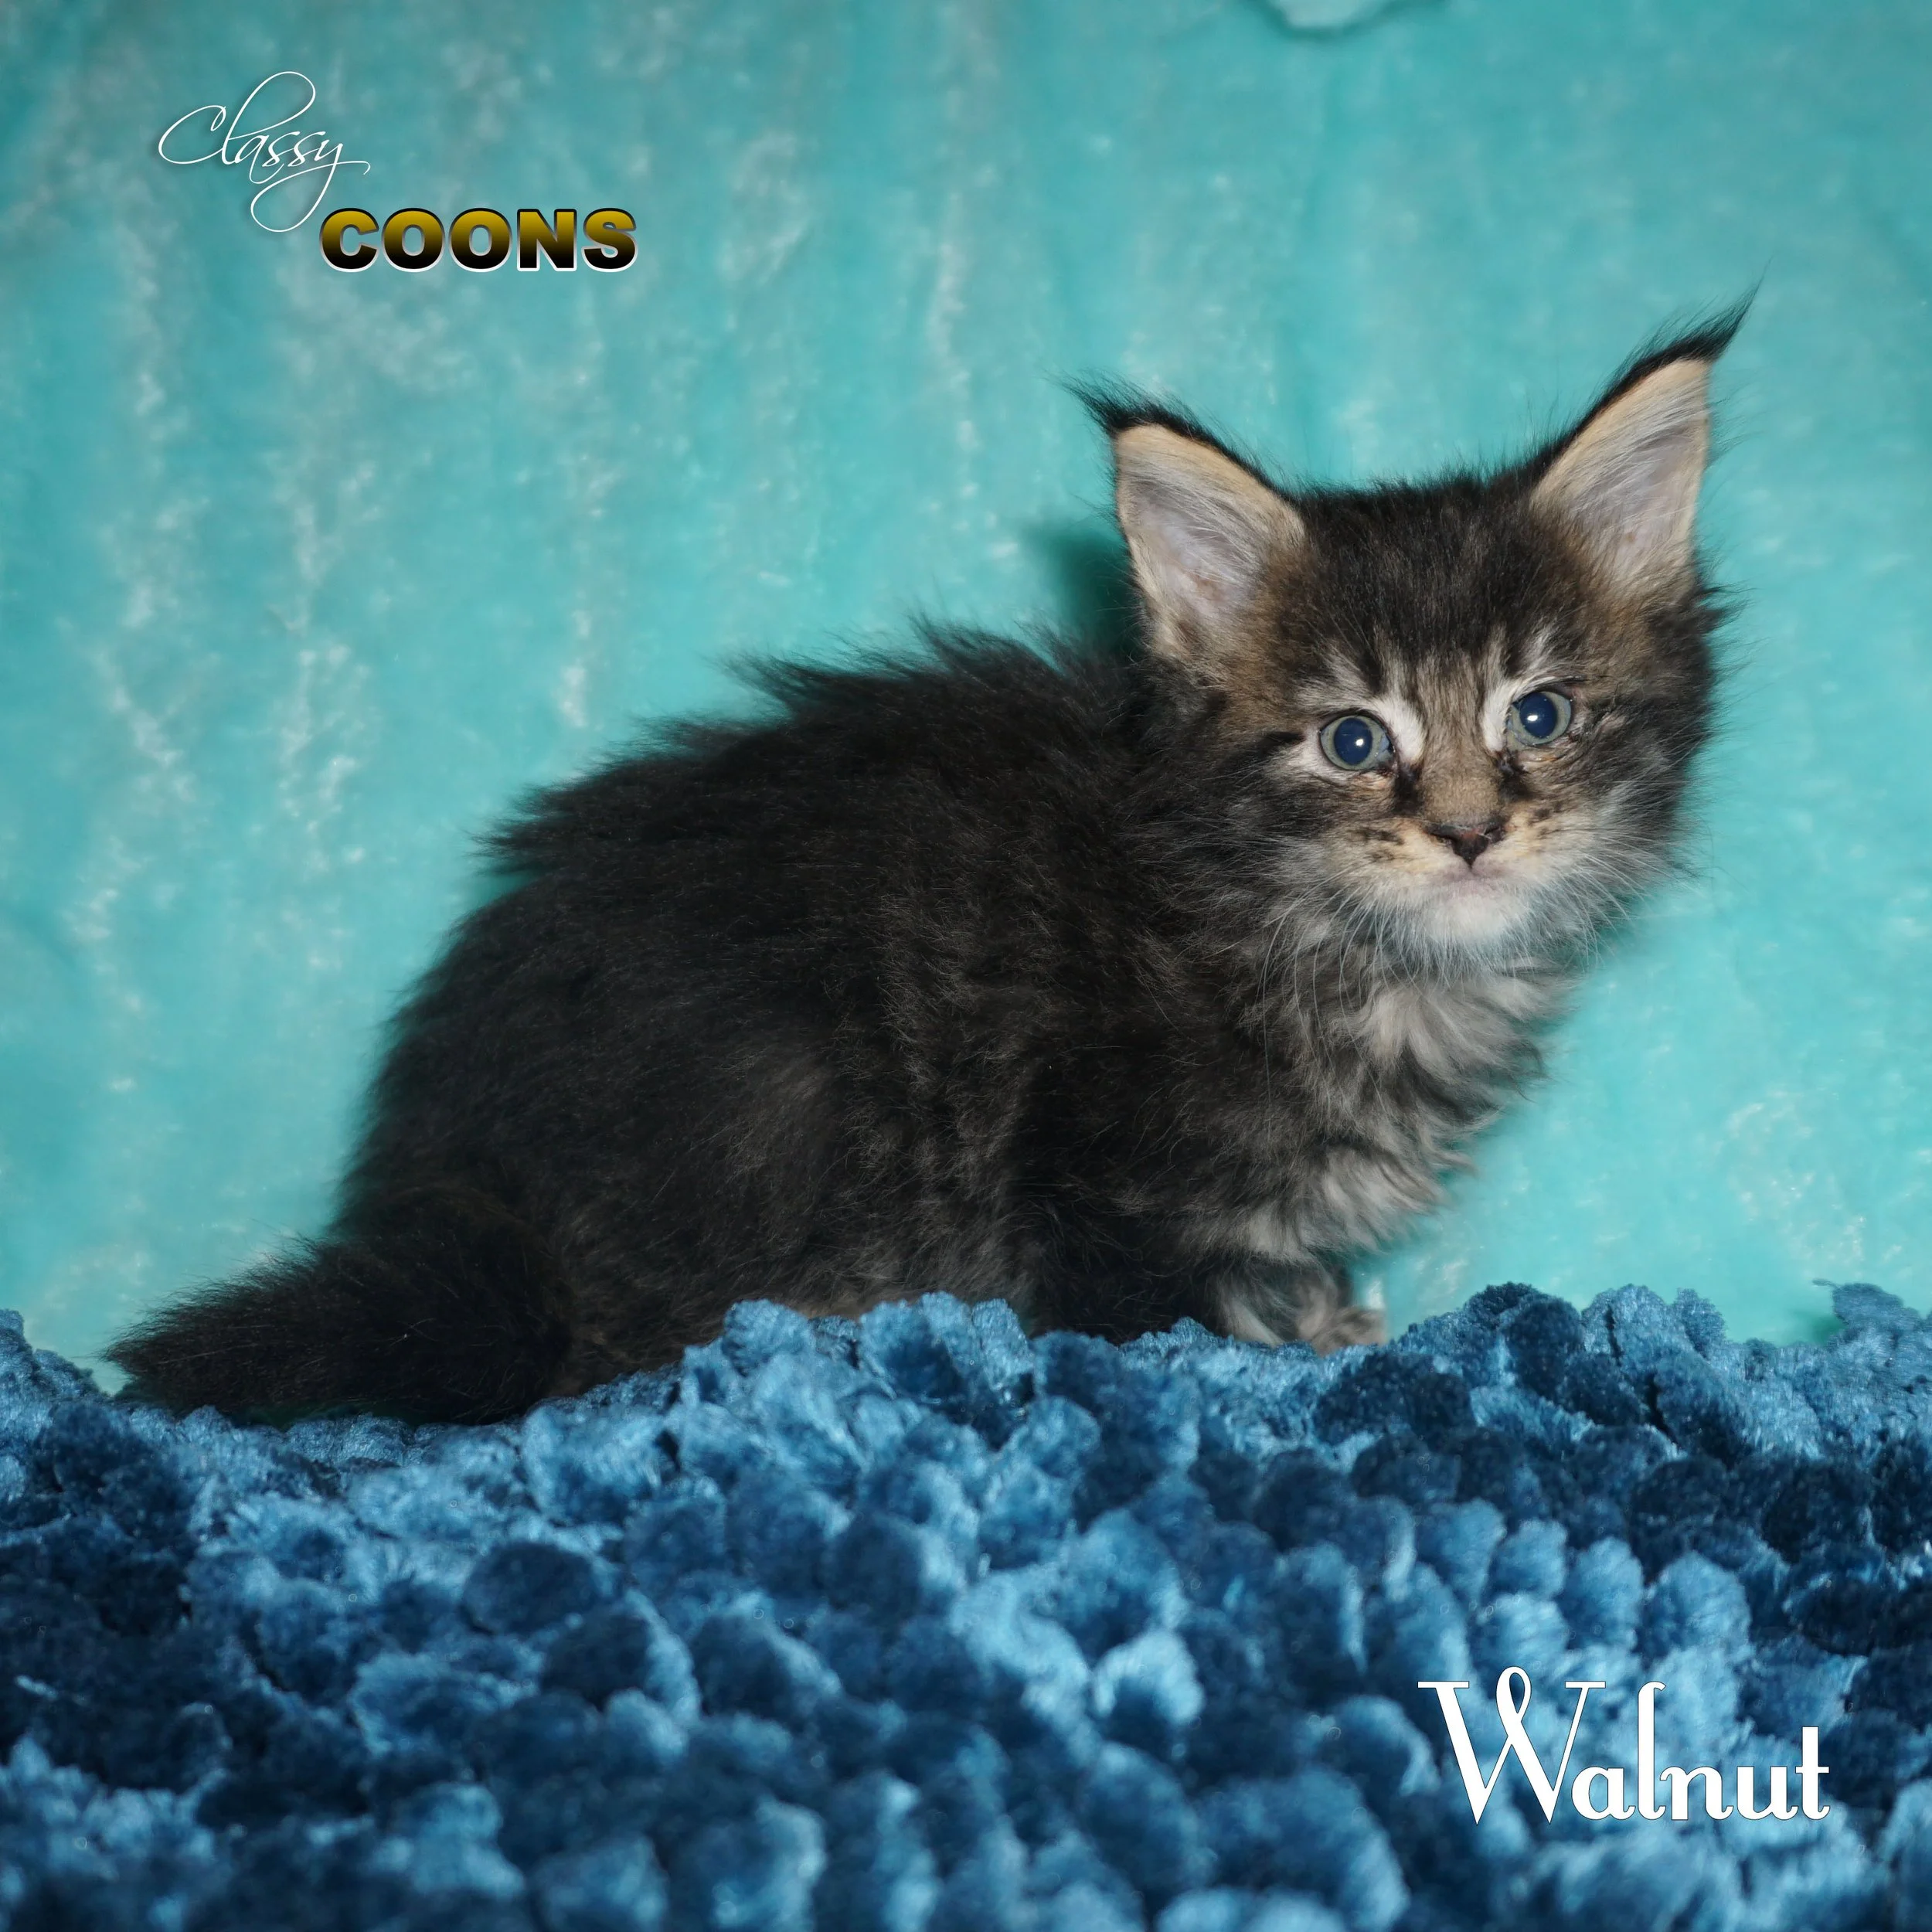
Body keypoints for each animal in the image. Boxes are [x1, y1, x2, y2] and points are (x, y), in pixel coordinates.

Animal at [111, 318, 1734, 1423]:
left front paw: (1322, 1317)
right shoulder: (1092, 1190)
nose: (1468, 831)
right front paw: (1268, 1357)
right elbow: (1156, 1331)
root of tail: (450, 1178)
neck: (1318, 936)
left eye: (1538, 717)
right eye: (1352, 739)